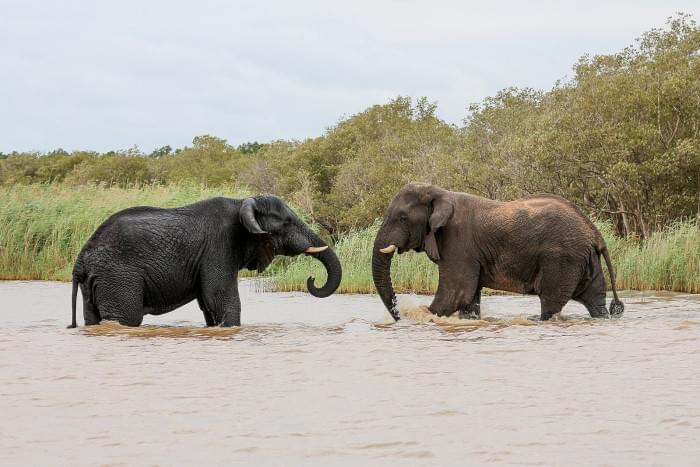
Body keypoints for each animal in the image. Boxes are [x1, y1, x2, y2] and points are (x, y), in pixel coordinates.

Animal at [67, 195, 340, 330]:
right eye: (286, 222)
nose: (312, 279)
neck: (242, 202)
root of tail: (80, 261)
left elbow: (209, 305)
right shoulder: (218, 248)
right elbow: (222, 300)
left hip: (98, 280)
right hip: (118, 277)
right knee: (126, 318)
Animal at [372, 183, 624, 322]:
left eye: (402, 218)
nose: (399, 317)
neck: (440, 193)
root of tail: (595, 233)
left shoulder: (458, 242)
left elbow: (455, 294)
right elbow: (468, 300)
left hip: (562, 259)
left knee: (551, 303)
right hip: (584, 260)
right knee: (595, 300)